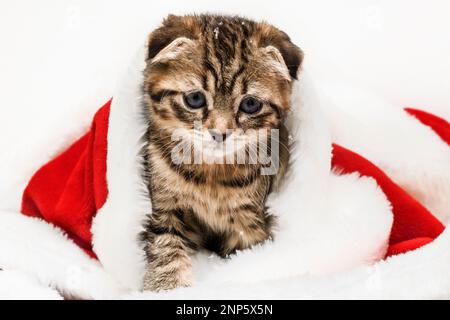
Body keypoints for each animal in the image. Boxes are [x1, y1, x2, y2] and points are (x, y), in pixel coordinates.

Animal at [141, 13, 302, 292]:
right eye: (195, 99)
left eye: (250, 104)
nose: (220, 133)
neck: (210, 175)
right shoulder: (165, 205)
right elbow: (166, 247)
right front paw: (166, 286)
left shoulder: (250, 224)